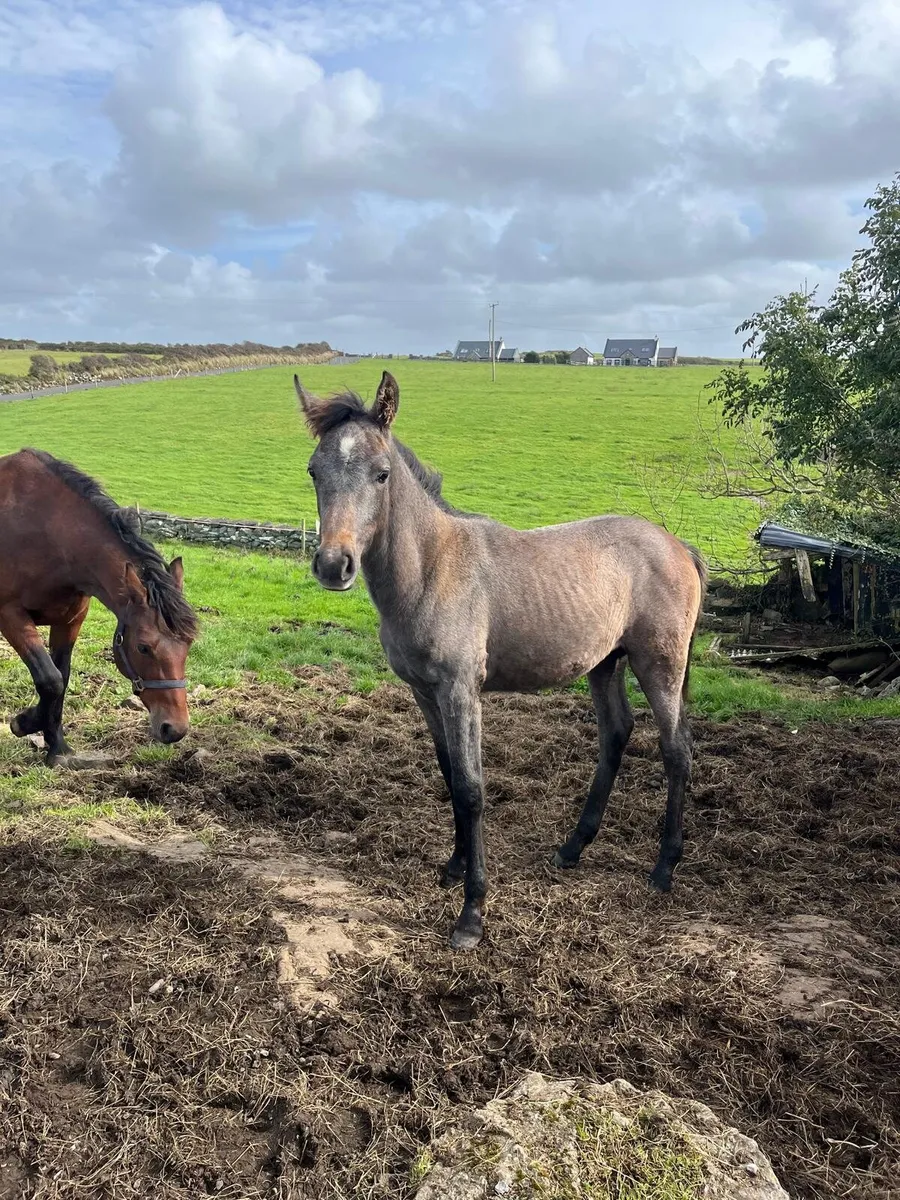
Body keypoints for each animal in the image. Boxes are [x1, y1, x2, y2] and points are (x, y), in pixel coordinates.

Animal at [0, 449, 198, 764]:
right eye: (143, 647)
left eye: (188, 644)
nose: (174, 729)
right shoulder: (10, 615)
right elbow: (50, 679)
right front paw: (25, 723)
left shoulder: (70, 619)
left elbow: (61, 678)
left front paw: (58, 748)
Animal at [296, 372, 707, 950]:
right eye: (314, 469)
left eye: (381, 474)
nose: (334, 565)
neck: (432, 568)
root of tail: (679, 546)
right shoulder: (424, 692)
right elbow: (449, 774)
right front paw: (452, 867)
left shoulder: (461, 690)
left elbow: (472, 788)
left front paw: (472, 913)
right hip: (606, 663)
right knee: (616, 734)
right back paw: (572, 848)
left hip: (660, 664)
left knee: (676, 751)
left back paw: (664, 868)